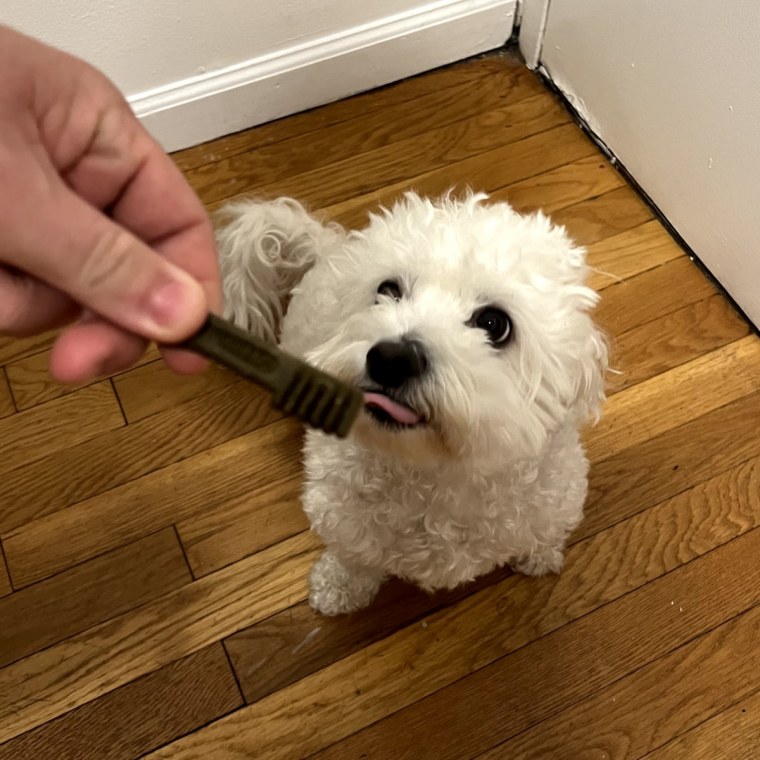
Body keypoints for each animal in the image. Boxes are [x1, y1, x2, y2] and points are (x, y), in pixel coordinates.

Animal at [215, 193, 604, 616]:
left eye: (494, 324)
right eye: (387, 291)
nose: (391, 358)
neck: (436, 472)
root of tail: (330, 247)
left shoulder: (553, 503)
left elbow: (542, 534)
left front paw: (538, 557)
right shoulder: (342, 519)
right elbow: (353, 561)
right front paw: (337, 589)